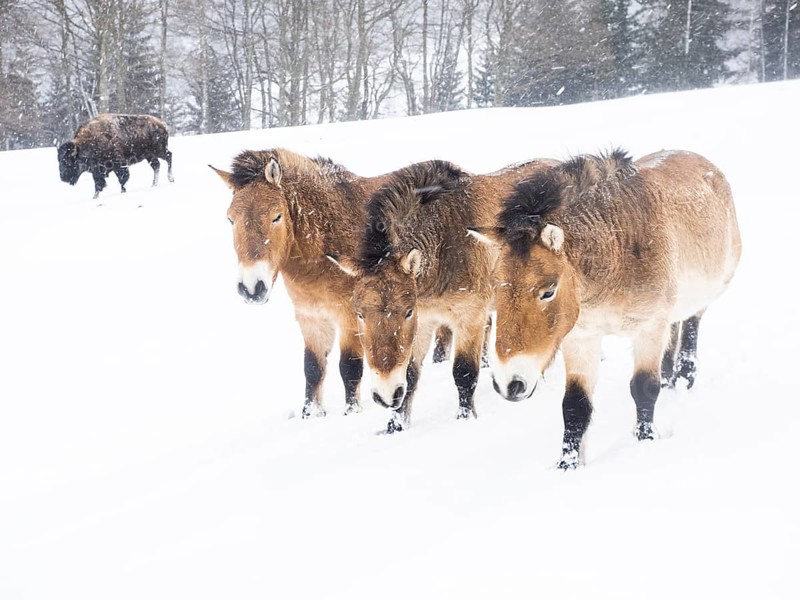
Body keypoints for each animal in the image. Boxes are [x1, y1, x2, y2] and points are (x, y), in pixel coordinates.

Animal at [211, 149, 451, 418]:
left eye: (276, 217)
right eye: (230, 219)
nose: (252, 288)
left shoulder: (350, 317)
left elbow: (349, 368)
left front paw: (352, 413)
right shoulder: (311, 318)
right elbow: (313, 368)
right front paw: (310, 414)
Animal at [328, 157, 556, 433]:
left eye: (407, 312)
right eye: (360, 314)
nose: (385, 395)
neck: (446, 238)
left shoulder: (469, 318)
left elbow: (464, 373)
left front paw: (465, 418)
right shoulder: (425, 322)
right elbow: (411, 375)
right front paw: (395, 426)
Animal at [468, 149, 742, 468]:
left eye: (548, 291)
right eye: (496, 286)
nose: (509, 383)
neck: (618, 246)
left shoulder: (649, 328)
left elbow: (644, 388)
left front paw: (644, 440)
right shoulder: (581, 338)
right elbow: (575, 406)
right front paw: (568, 465)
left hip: (698, 302)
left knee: (690, 327)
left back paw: (685, 377)